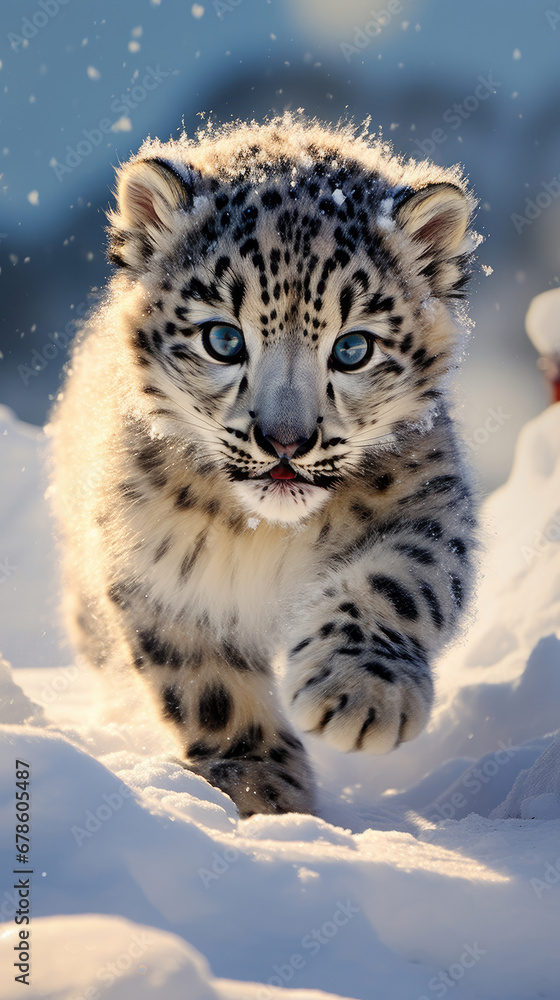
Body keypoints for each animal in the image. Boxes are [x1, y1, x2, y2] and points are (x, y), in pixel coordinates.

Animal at [49, 115, 479, 818]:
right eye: (223, 339)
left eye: (353, 348)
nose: (285, 443)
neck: (263, 536)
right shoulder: (156, 568)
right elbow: (206, 684)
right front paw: (260, 788)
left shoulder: (427, 500)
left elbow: (400, 581)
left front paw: (360, 694)